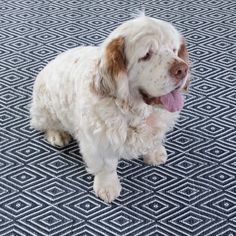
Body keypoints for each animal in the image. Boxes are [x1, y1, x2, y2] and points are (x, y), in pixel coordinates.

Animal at [30, 15, 190, 203]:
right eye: (146, 55)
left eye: (174, 50)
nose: (182, 69)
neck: (135, 112)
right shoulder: (98, 140)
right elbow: (106, 166)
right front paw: (107, 187)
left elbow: (154, 140)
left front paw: (155, 153)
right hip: (45, 107)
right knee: (44, 124)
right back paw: (58, 135)